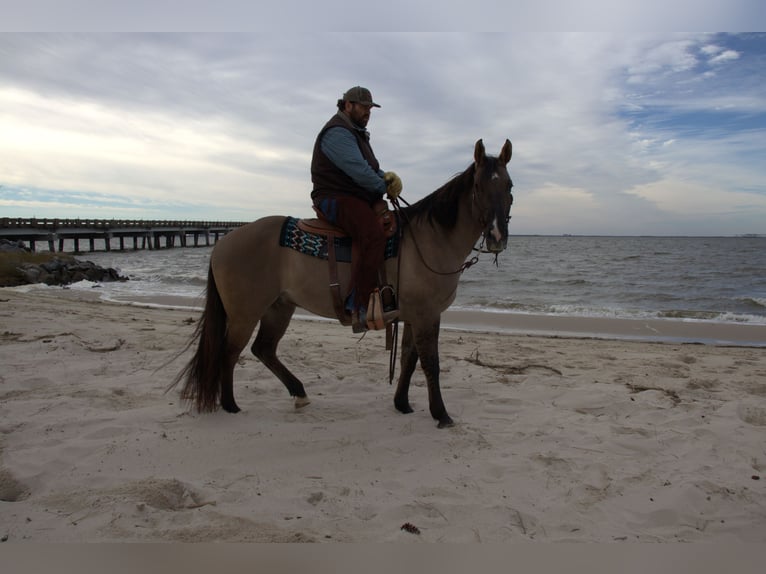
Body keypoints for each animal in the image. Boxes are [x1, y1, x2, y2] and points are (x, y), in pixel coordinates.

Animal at [171, 138, 513, 428]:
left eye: (509, 185)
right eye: (479, 185)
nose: (497, 236)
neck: (429, 240)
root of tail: (224, 240)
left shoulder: (417, 316)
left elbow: (408, 359)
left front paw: (402, 404)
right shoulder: (425, 315)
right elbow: (431, 363)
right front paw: (441, 414)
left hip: (279, 307)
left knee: (263, 349)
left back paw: (298, 392)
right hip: (245, 313)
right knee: (229, 353)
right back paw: (230, 405)